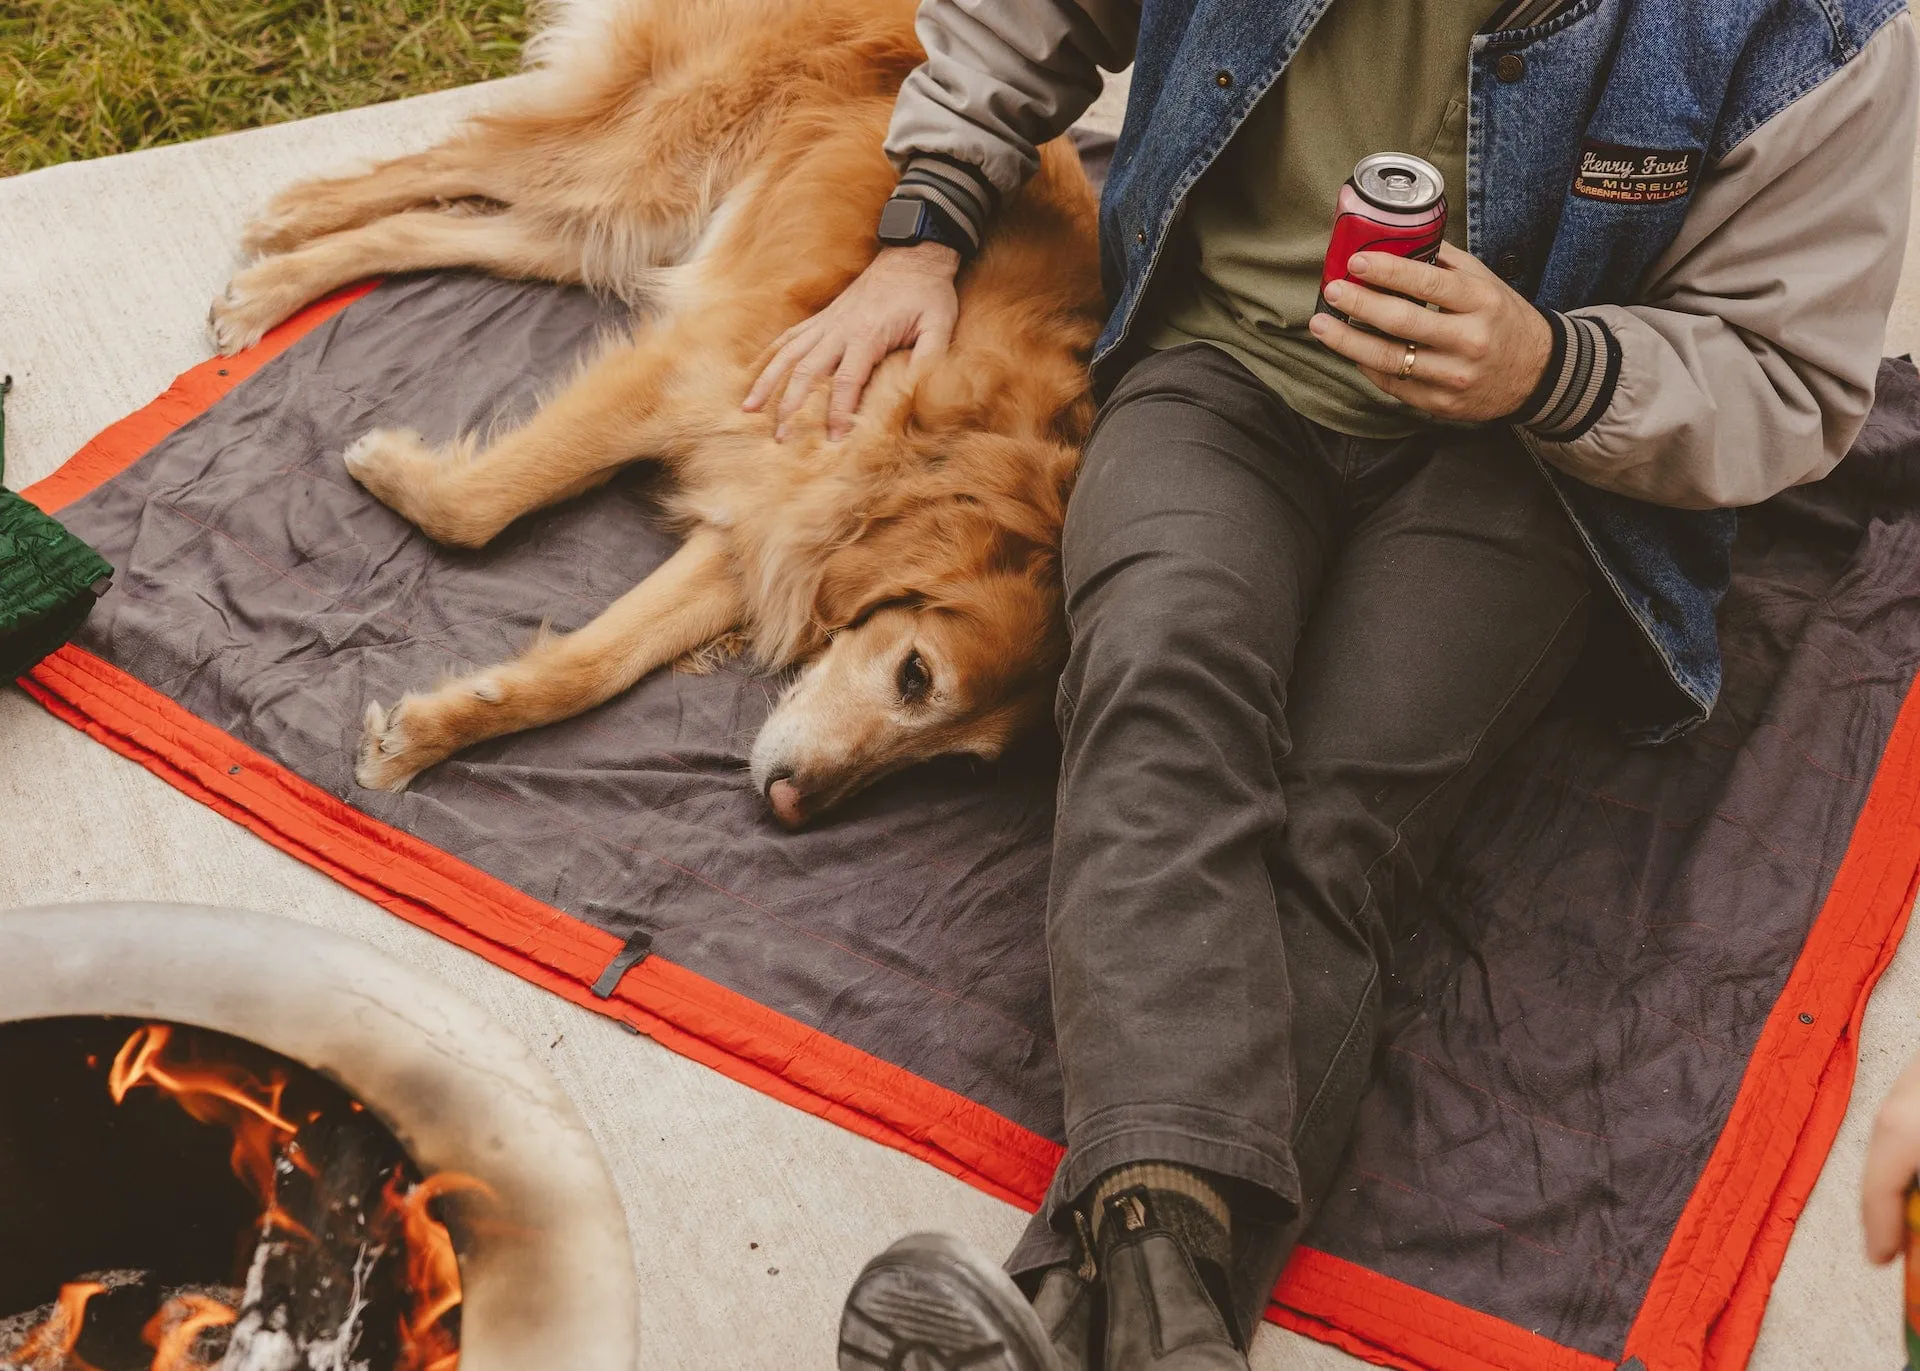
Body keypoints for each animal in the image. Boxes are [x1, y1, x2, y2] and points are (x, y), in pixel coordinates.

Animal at [202, 0, 1105, 821]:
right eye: (915, 675)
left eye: (954, 761)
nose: (788, 804)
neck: (938, 446)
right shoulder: (690, 379)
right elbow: (480, 505)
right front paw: (390, 466)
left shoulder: (766, 531)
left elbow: (596, 667)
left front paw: (430, 731)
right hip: (648, 163)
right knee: (456, 161)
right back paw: (293, 219)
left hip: (615, 229)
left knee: (441, 227)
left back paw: (275, 284)